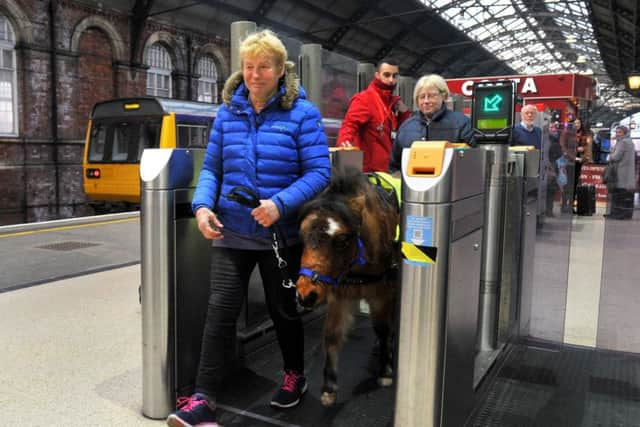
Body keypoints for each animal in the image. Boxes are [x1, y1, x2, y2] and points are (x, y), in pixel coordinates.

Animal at [296, 167, 398, 408]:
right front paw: (329, 387)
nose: (306, 294)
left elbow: (383, 327)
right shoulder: (338, 295)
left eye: (342, 240)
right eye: (302, 236)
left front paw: (385, 371)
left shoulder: (383, 293)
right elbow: (332, 335)